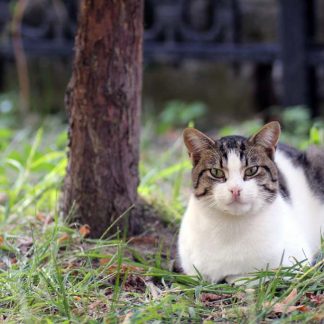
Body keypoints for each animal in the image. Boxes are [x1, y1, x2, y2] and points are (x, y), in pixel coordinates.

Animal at [178, 121, 322, 284]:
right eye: (216, 172)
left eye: (252, 170)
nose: (235, 189)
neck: (232, 227)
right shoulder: (192, 268)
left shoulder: (295, 261)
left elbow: (255, 274)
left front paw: (236, 277)